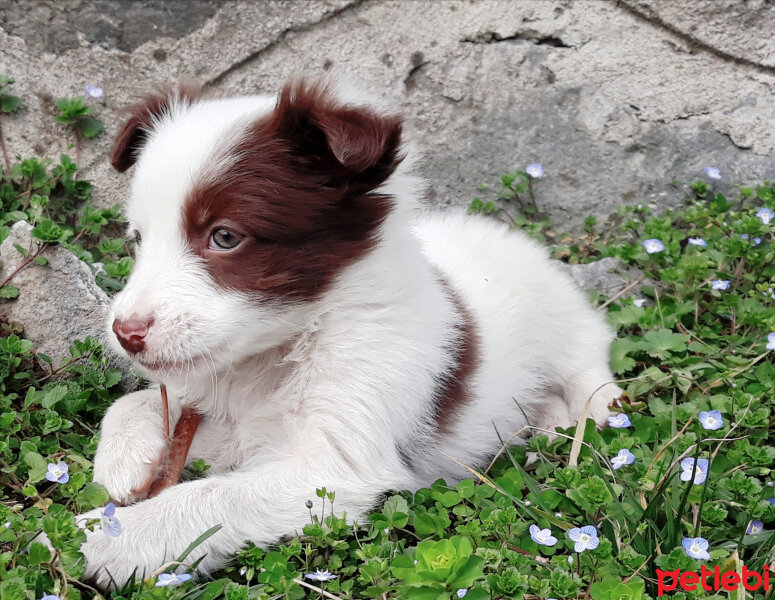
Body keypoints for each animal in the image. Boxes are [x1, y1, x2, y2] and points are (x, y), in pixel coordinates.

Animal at [80, 78, 624, 584]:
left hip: (558, 311)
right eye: (138, 239)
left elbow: (211, 497)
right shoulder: (236, 419)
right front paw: (126, 458)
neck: (279, 351)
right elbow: (136, 404)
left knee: (589, 355)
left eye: (226, 236)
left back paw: (591, 413)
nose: (125, 333)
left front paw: (108, 537)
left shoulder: (333, 465)